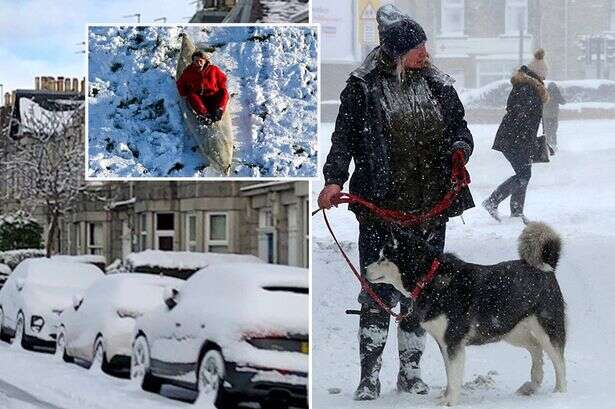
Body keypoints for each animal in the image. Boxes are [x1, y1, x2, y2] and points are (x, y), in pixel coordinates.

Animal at [366, 223, 568, 404]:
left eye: (383, 258)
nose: (365, 270)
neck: (429, 278)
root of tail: (547, 267)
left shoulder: (453, 341)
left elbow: (454, 376)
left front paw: (450, 402)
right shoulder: (443, 342)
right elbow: (449, 374)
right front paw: (446, 396)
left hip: (546, 328)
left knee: (559, 361)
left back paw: (560, 392)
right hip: (511, 331)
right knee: (536, 347)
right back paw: (532, 385)